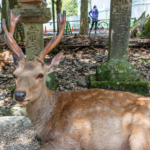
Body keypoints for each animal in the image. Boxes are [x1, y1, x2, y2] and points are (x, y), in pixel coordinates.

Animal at [2, 9, 150, 149]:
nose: (19, 94)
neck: (45, 124)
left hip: (140, 135)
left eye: (40, 75)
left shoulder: (66, 139)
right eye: (14, 74)